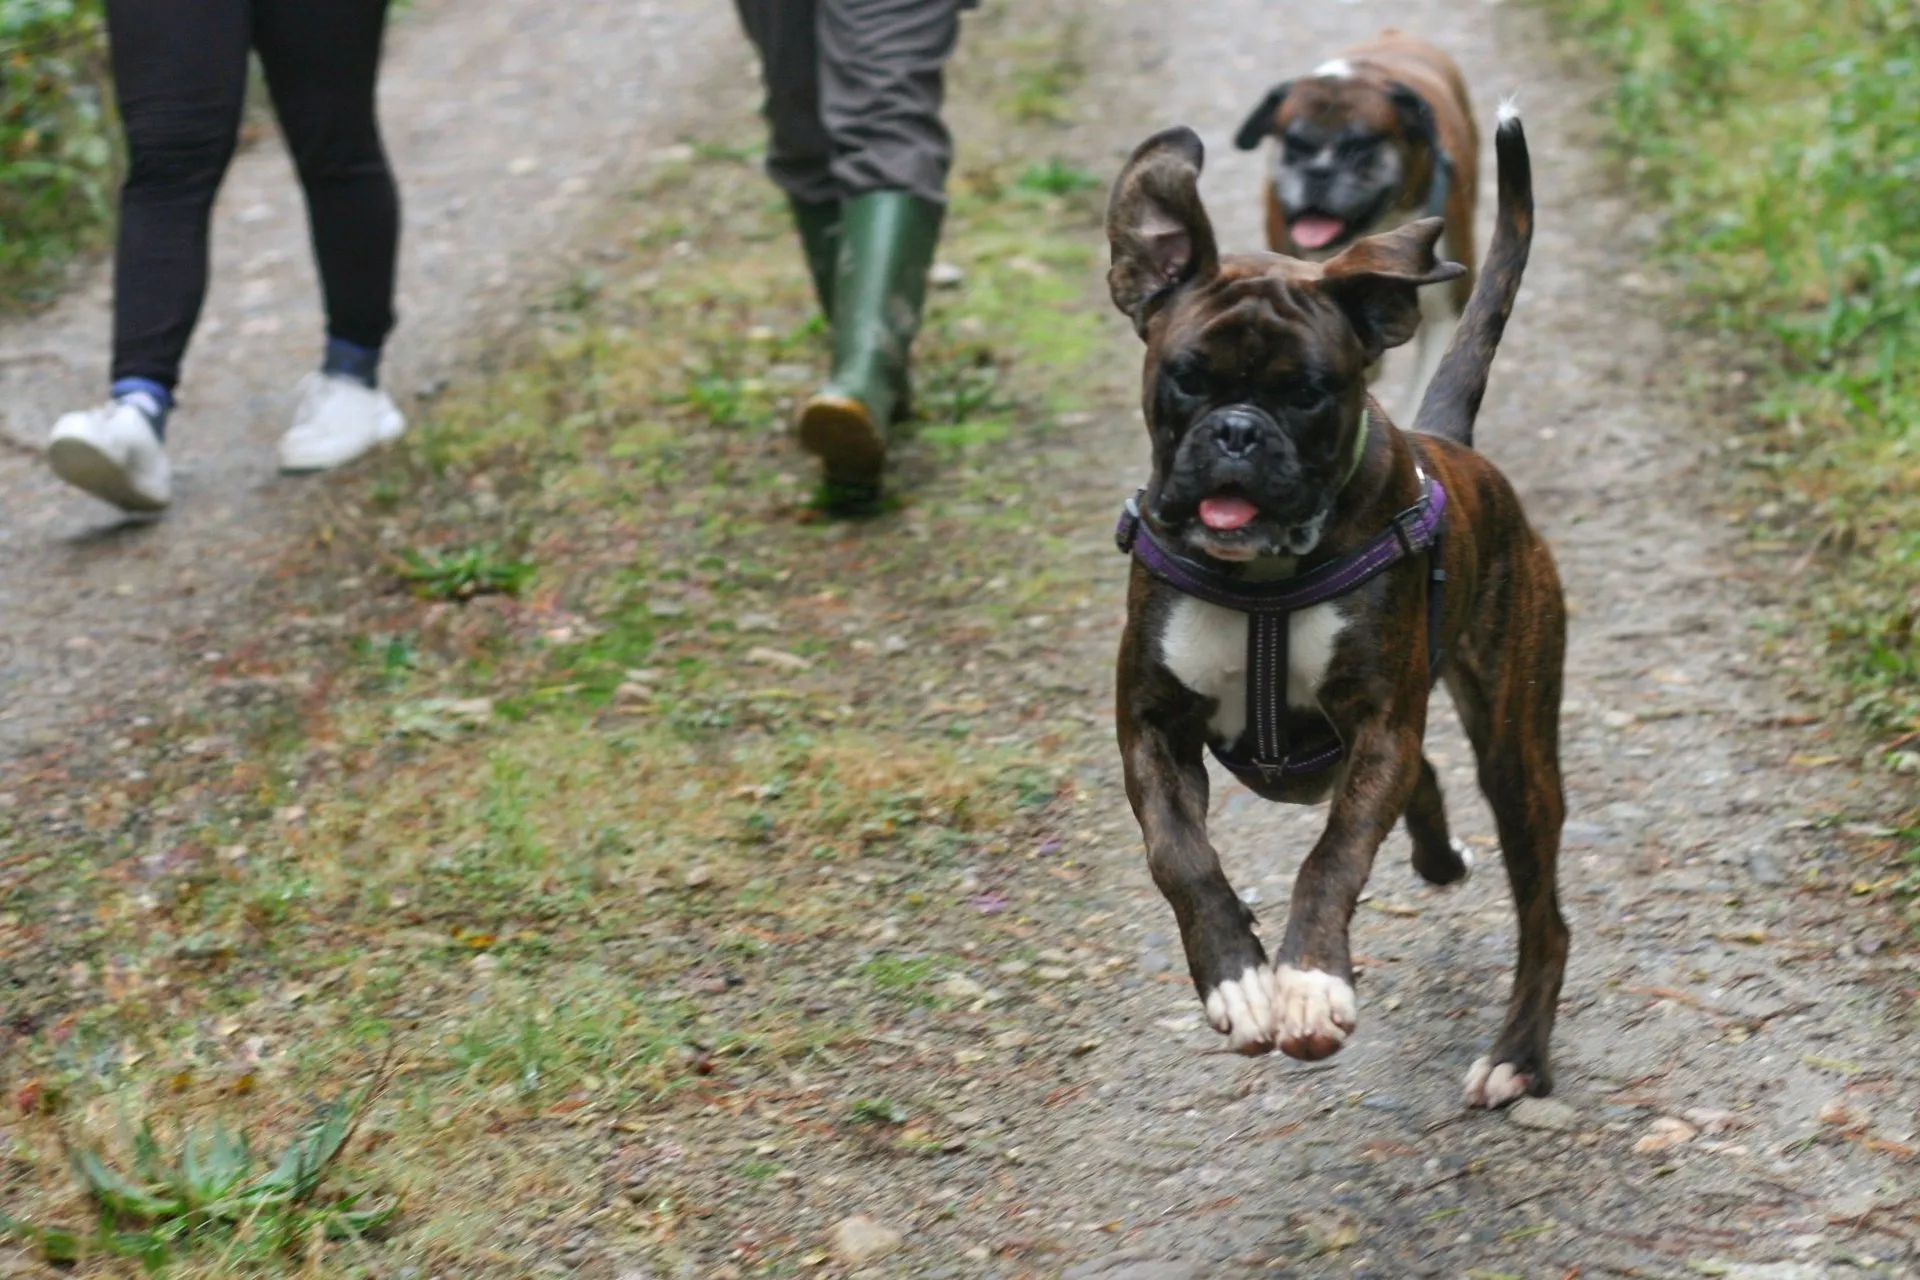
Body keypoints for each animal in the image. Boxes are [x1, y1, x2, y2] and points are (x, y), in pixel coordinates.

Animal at [1105, 105, 1566, 1105]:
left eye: (1312, 392)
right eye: (1188, 377)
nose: (1239, 433)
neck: (1262, 587)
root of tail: (1452, 440)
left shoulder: (1379, 724)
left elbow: (1337, 852)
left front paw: (1310, 981)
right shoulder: (1151, 729)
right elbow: (1178, 855)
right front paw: (1239, 979)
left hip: (1517, 753)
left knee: (1545, 916)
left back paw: (1518, 1055)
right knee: (1427, 785)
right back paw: (1438, 863)